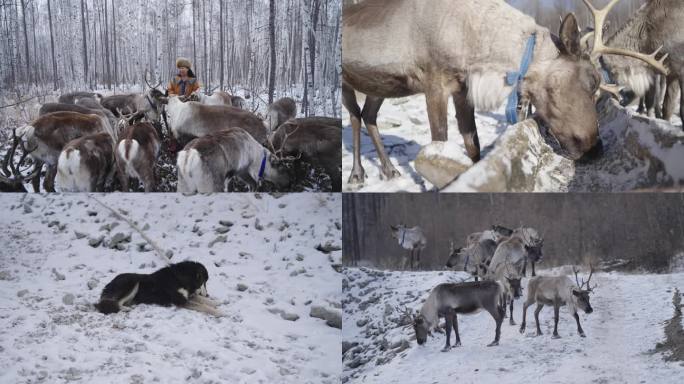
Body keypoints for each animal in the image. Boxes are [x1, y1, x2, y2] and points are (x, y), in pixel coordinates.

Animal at [93, 260, 222, 316]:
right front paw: (218, 312)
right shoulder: (180, 300)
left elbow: (201, 300)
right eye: (204, 282)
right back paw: (125, 309)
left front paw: (215, 302)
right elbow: (202, 306)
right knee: (110, 303)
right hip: (133, 282)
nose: (208, 294)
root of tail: (109, 284)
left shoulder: (187, 296)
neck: (179, 277)